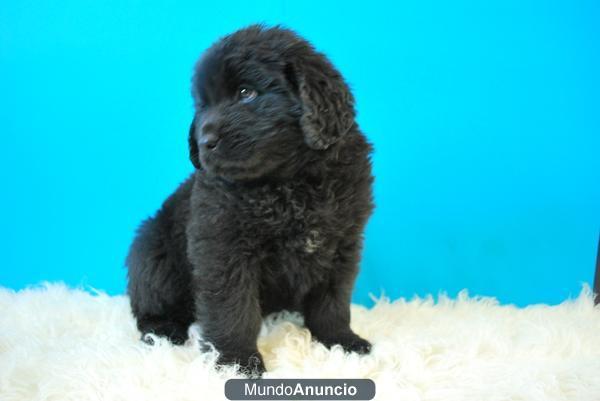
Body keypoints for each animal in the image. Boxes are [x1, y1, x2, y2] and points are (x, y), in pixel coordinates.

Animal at [125, 25, 376, 376]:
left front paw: (340, 342)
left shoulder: (342, 243)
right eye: (203, 104)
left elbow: (334, 300)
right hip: (150, 252)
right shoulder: (224, 250)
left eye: (246, 93)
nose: (204, 141)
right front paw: (237, 362)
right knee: (150, 308)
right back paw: (164, 332)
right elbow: (233, 310)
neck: (289, 180)